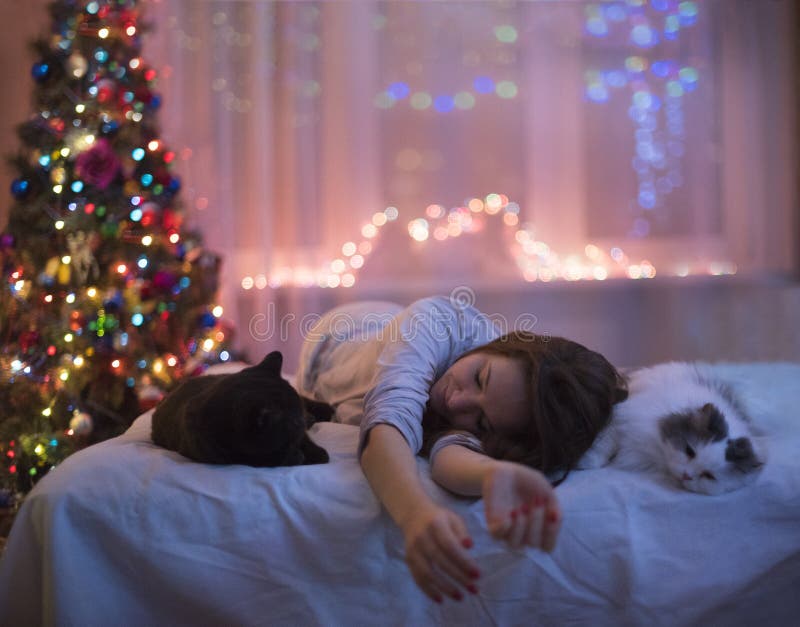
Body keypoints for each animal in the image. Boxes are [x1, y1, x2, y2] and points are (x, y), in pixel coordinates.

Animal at [152, 354, 330, 466]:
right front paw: (296, 456)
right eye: (295, 422)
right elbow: (261, 458)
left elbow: (305, 441)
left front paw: (318, 454)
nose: (304, 419)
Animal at [580, 364, 764, 496]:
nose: (687, 475)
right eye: (690, 451)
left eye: (708, 476)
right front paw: (585, 462)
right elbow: (604, 449)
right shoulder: (621, 418)